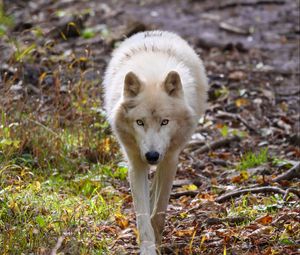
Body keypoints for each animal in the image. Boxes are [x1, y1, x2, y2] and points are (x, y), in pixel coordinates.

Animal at [103, 30, 209, 254]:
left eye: (165, 121)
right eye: (140, 122)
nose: (152, 155)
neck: (152, 74)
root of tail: (153, 32)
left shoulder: (170, 160)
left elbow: (159, 213)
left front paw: (158, 242)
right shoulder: (136, 163)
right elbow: (142, 217)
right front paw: (148, 247)